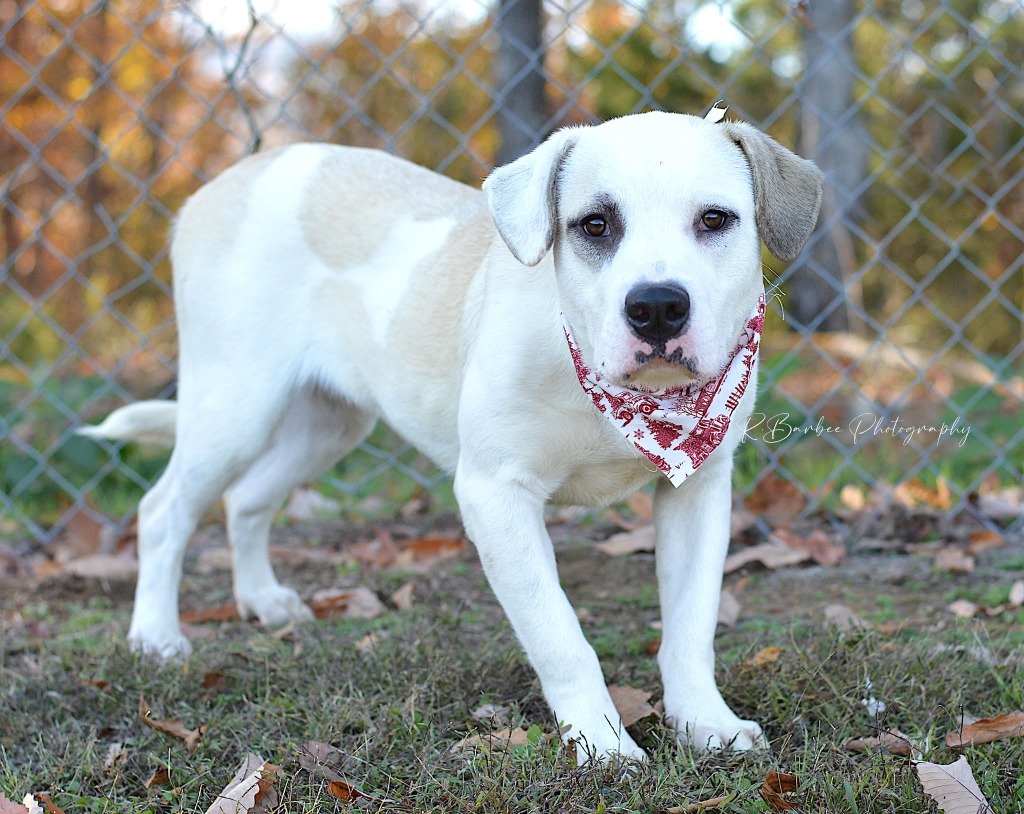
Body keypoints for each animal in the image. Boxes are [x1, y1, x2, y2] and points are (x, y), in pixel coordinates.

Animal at [83, 111, 827, 761]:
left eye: (715, 220)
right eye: (594, 225)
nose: (657, 307)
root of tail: (225, 182)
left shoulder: (697, 487)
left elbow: (691, 625)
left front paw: (706, 724)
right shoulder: (496, 494)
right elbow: (560, 636)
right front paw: (603, 745)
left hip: (326, 422)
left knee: (246, 500)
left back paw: (263, 600)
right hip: (234, 405)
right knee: (165, 509)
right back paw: (156, 637)